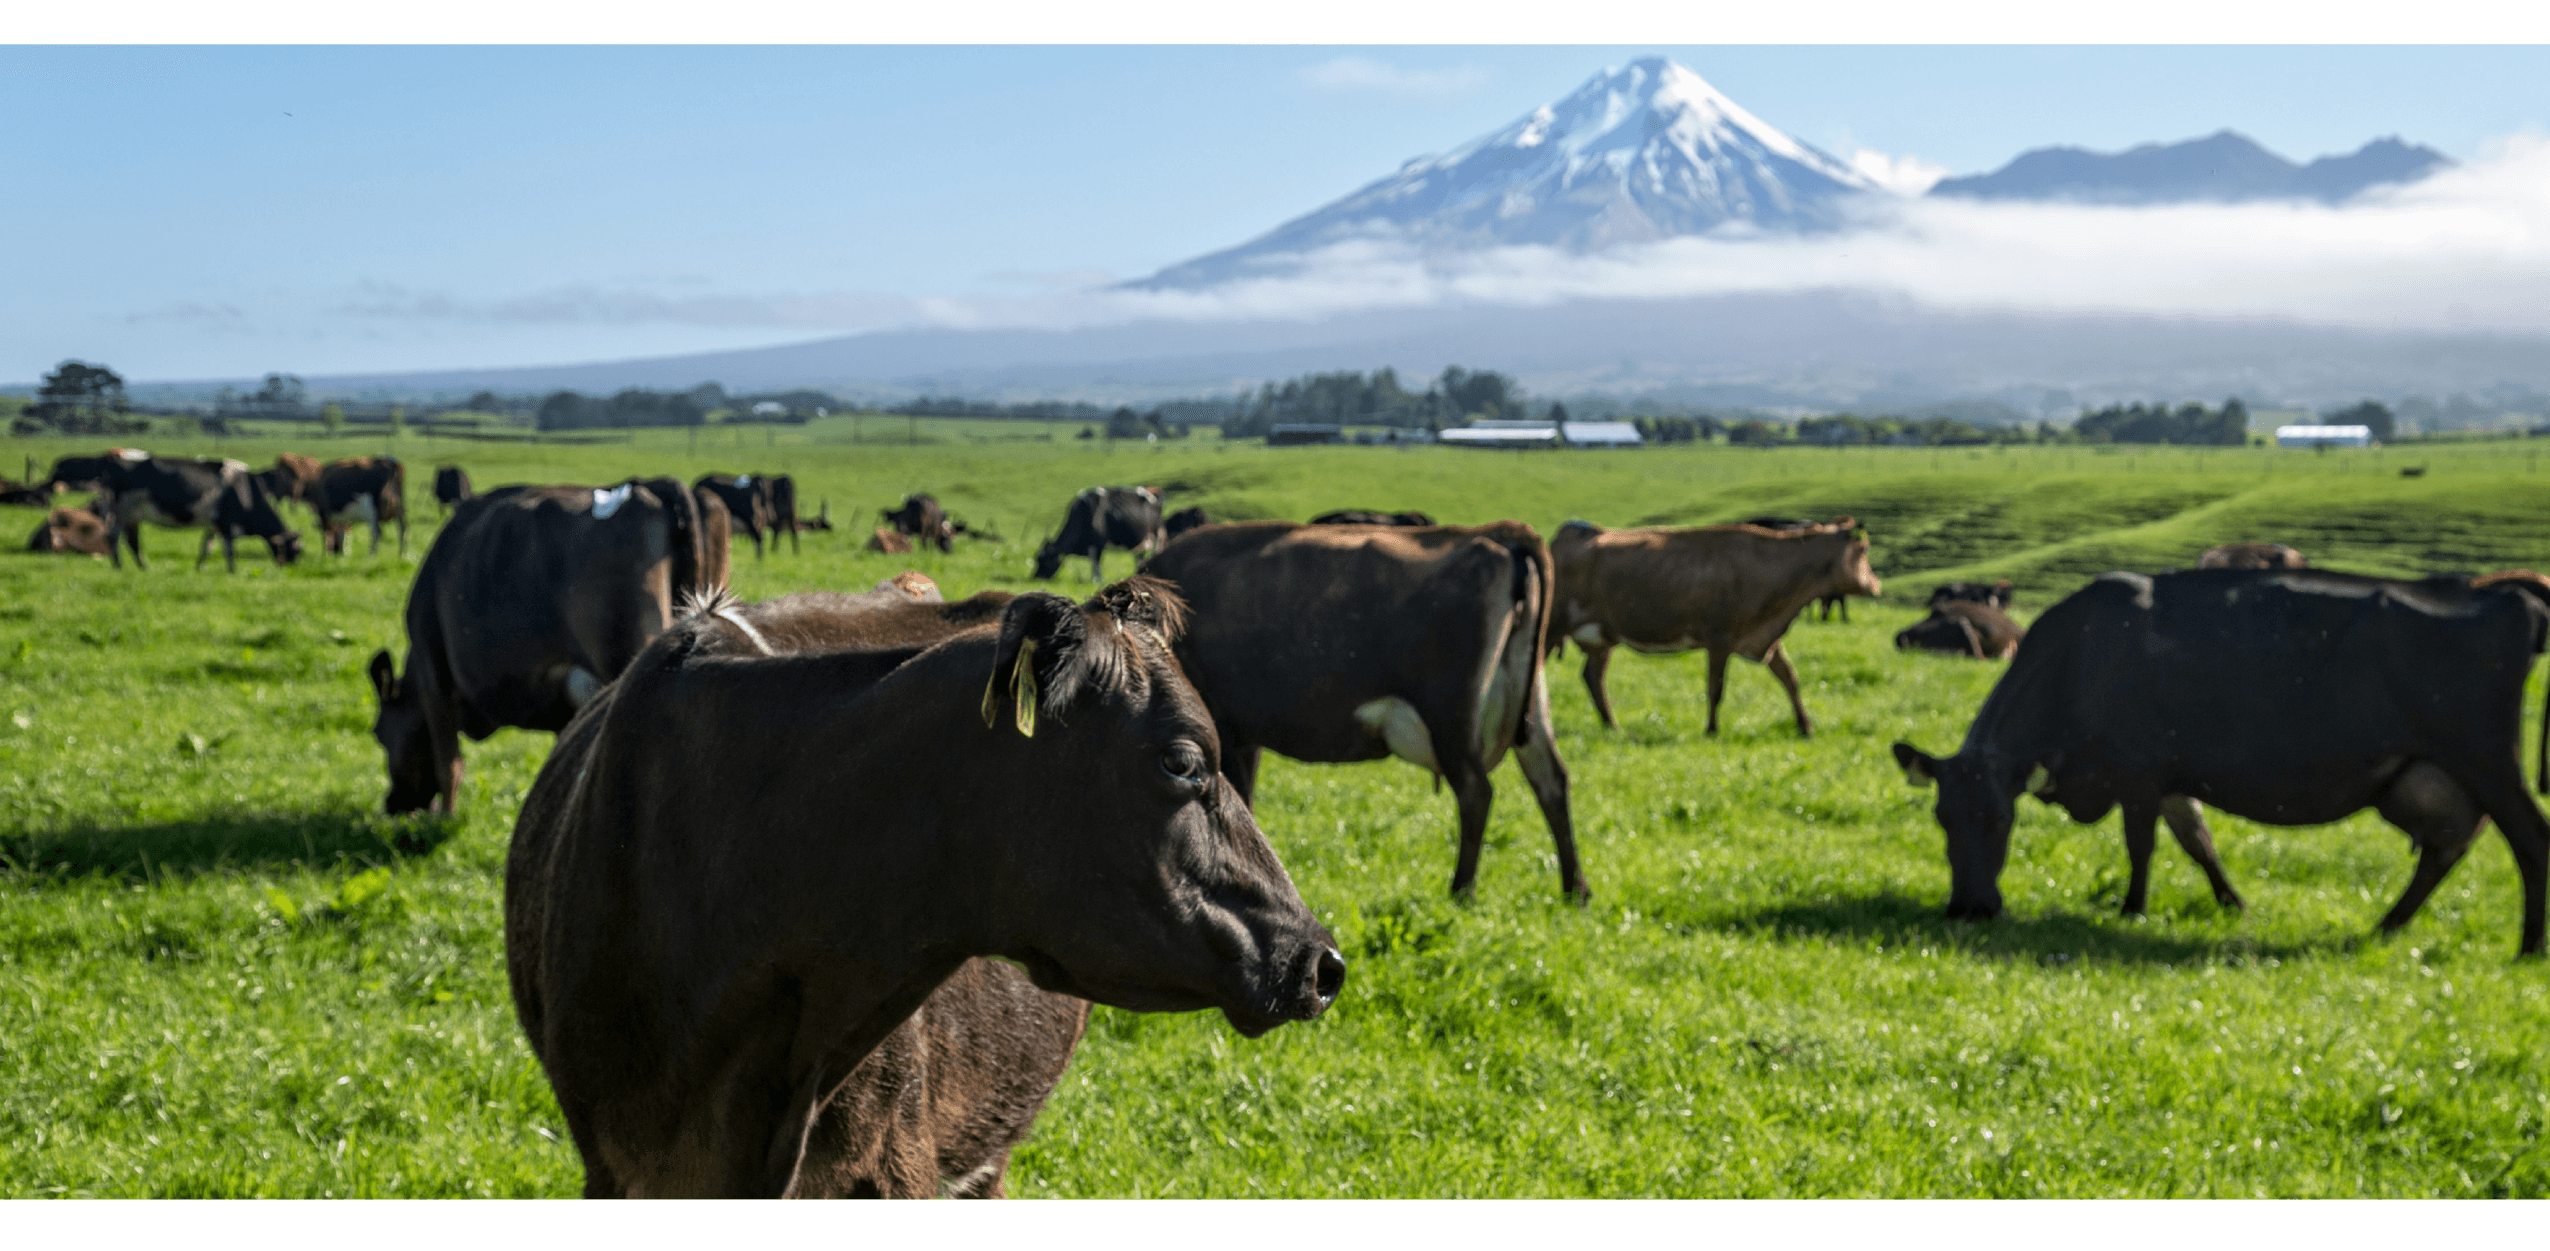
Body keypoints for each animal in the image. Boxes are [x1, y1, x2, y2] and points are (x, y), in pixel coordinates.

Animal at [94, 455, 304, 572]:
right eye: (295, 550)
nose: (290, 568)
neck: (246, 492)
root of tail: (116, 461)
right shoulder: (226, 522)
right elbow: (229, 550)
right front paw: (233, 571)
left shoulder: (213, 524)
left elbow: (206, 547)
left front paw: (199, 567)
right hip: (120, 511)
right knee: (113, 537)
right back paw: (119, 566)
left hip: (132, 516)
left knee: (132, 541)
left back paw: (143, 567)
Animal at [366, 478, 720, 815]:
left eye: (380, 734)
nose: (391, 804)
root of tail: (646, 489)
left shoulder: (434, 675)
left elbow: (448, 764)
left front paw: (443, 821)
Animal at [1033, 486, 1163, 581]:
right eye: (1037, 559)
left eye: (1046, 561)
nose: (1036, 578)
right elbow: (1093, 563)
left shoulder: (1098, 544)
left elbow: (1096, 563)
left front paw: (1097, 581)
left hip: (1154, 533)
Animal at [1142, 520, 1586, 902]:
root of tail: (1495, 532)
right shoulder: (1244, 734)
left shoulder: (1221, 727)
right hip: (1529, 702)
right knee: (1552, 782)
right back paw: (1574, 891)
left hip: (1450, 717)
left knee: (1477, 792)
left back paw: (1461, 891)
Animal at [1551, 519, 1882, 735]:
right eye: (1864, 549)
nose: (1877, 585)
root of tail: (1571, 532)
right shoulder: (1719, 639)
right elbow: (1716, 688)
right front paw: (1711, 729)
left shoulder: (1763, 637)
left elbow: (1790, 678)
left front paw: (1806, 726)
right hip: (1551, 627)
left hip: (1601, 637)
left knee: (1593, 678)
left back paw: (1612, 726)